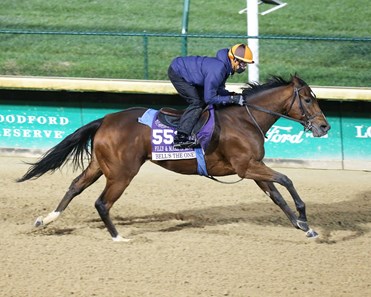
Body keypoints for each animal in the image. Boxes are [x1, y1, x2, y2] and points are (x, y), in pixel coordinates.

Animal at [16, 74, 332, 240]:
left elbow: (277, 196)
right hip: (122, 173)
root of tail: (105, 119)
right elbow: (287, 180)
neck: (245, 119)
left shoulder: (254, 167)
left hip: (100, 165)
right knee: (101, 202)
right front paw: (304, 217)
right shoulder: (247, 167)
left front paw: (304, 227)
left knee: (75, 187)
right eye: (307, 99)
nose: (324, 126)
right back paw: (119, 237)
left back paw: (46, 220)